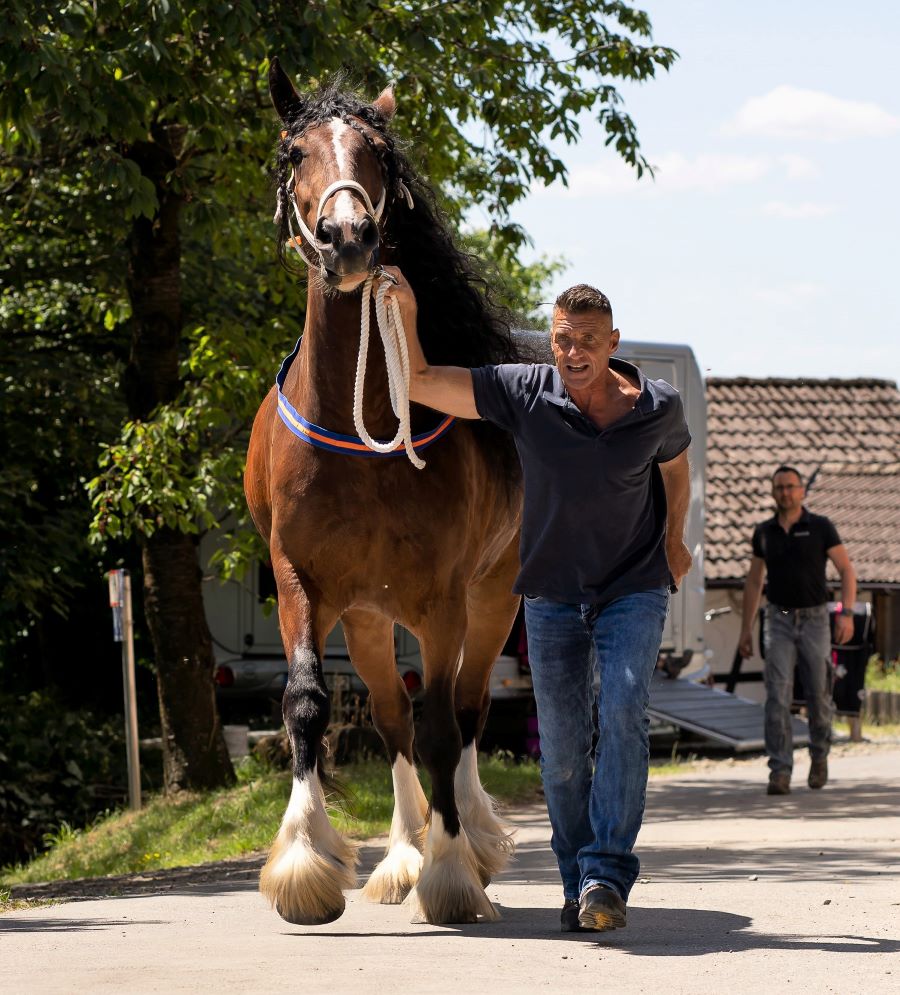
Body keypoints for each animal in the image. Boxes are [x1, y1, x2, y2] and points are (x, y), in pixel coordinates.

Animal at [243, 60, 524, 926]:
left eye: (377, 154)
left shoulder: (444, 597)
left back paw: (471, 840)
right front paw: (305, 862)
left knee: (464, 711)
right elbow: (308, 702)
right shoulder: (298, 578)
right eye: (294, 152)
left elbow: (444, 725)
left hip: (495, 596)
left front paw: (453, 870)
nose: (347, 238)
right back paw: (401, 854)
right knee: (396, 715)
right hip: (367, 614)